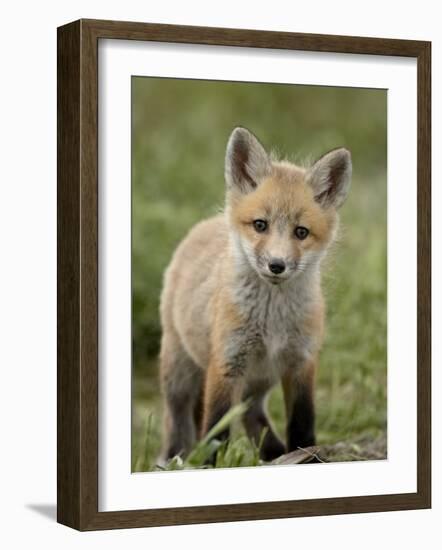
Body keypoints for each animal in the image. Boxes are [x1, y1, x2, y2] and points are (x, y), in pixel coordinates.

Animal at [159, 127, 352, 464]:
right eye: (260, 225)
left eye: (301, 232)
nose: (277, 265)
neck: (272, 320)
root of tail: (204, 225)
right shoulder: (226, 363)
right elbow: (215, 430)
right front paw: (209, 467)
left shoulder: (301, 362)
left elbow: (302, 424)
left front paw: (307, 456)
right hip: (180, 373)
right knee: (178, 420)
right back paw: (173, 460)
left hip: (260, 380)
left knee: (252, 414)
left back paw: (273, 453)